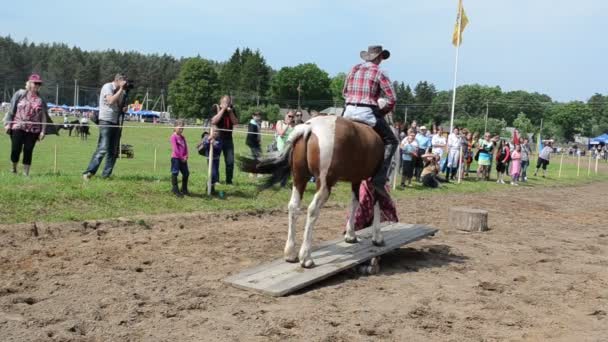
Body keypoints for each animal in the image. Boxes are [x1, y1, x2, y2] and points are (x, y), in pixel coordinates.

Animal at [240, 115, 388, 268]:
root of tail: (309, 127)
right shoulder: (374, 180)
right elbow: (377, 203)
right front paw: (377, 237)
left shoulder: (356, 180)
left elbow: (354, 203)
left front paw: (351, 235)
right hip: (324, 185)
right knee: (312, 210)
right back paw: (306, 257)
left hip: (299, 179)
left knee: (293, 207)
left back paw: (290, 253)